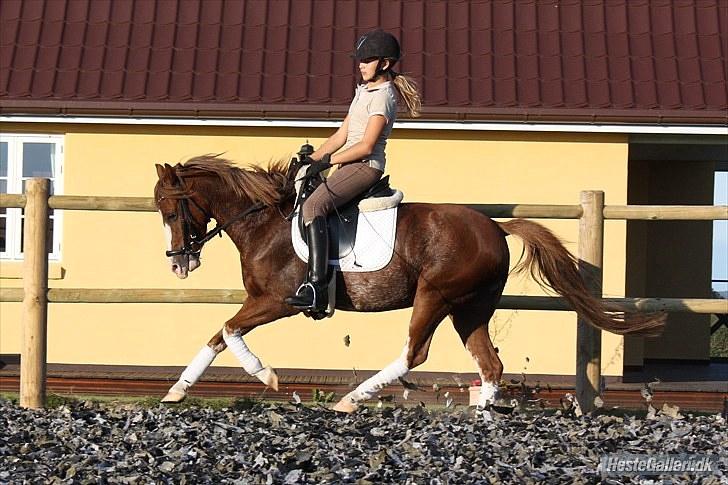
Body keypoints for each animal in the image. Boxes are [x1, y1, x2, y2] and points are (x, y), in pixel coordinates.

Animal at [153, 155, 666, 413]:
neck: (265, 220)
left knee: (414, 353)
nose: (178, 264)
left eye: (170, 206)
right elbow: (218, 335)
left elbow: (229, 330)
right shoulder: (262, 301)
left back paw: (350, 400)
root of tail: (496, 228)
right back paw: (483, 417)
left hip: (435, 297)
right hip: (469, 308)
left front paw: (267, 375)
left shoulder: (277, 300)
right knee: (490, 363)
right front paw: (177, 391)